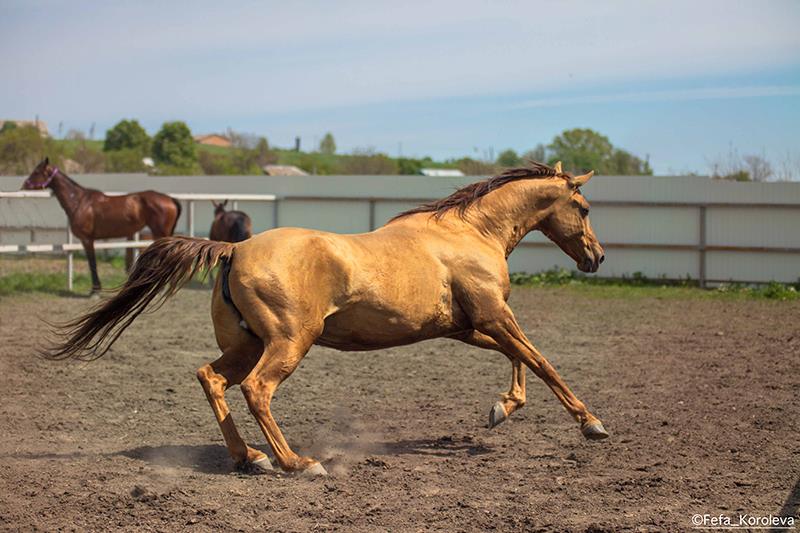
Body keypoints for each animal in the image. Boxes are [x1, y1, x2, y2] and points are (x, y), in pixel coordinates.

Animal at [22, 156, 183, 294]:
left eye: (36, 172)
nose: (24, 185)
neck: (79, 201)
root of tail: (170, 199)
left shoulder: (87, 239)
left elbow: (92, 263)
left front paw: (95, 290)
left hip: (161, 233)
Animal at [45, 161, 608, 474]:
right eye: (583, 208)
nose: (597, 258)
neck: (469, 233)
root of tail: (233, 248)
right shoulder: (492, 316)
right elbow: (542, 361)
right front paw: (591, 424)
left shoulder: (469, 327)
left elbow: (520, 360)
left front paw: (502, 408)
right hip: (288, 343)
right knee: (256, 390)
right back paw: (297, 462)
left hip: (246, 344)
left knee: (212, 379)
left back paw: (250, 459)